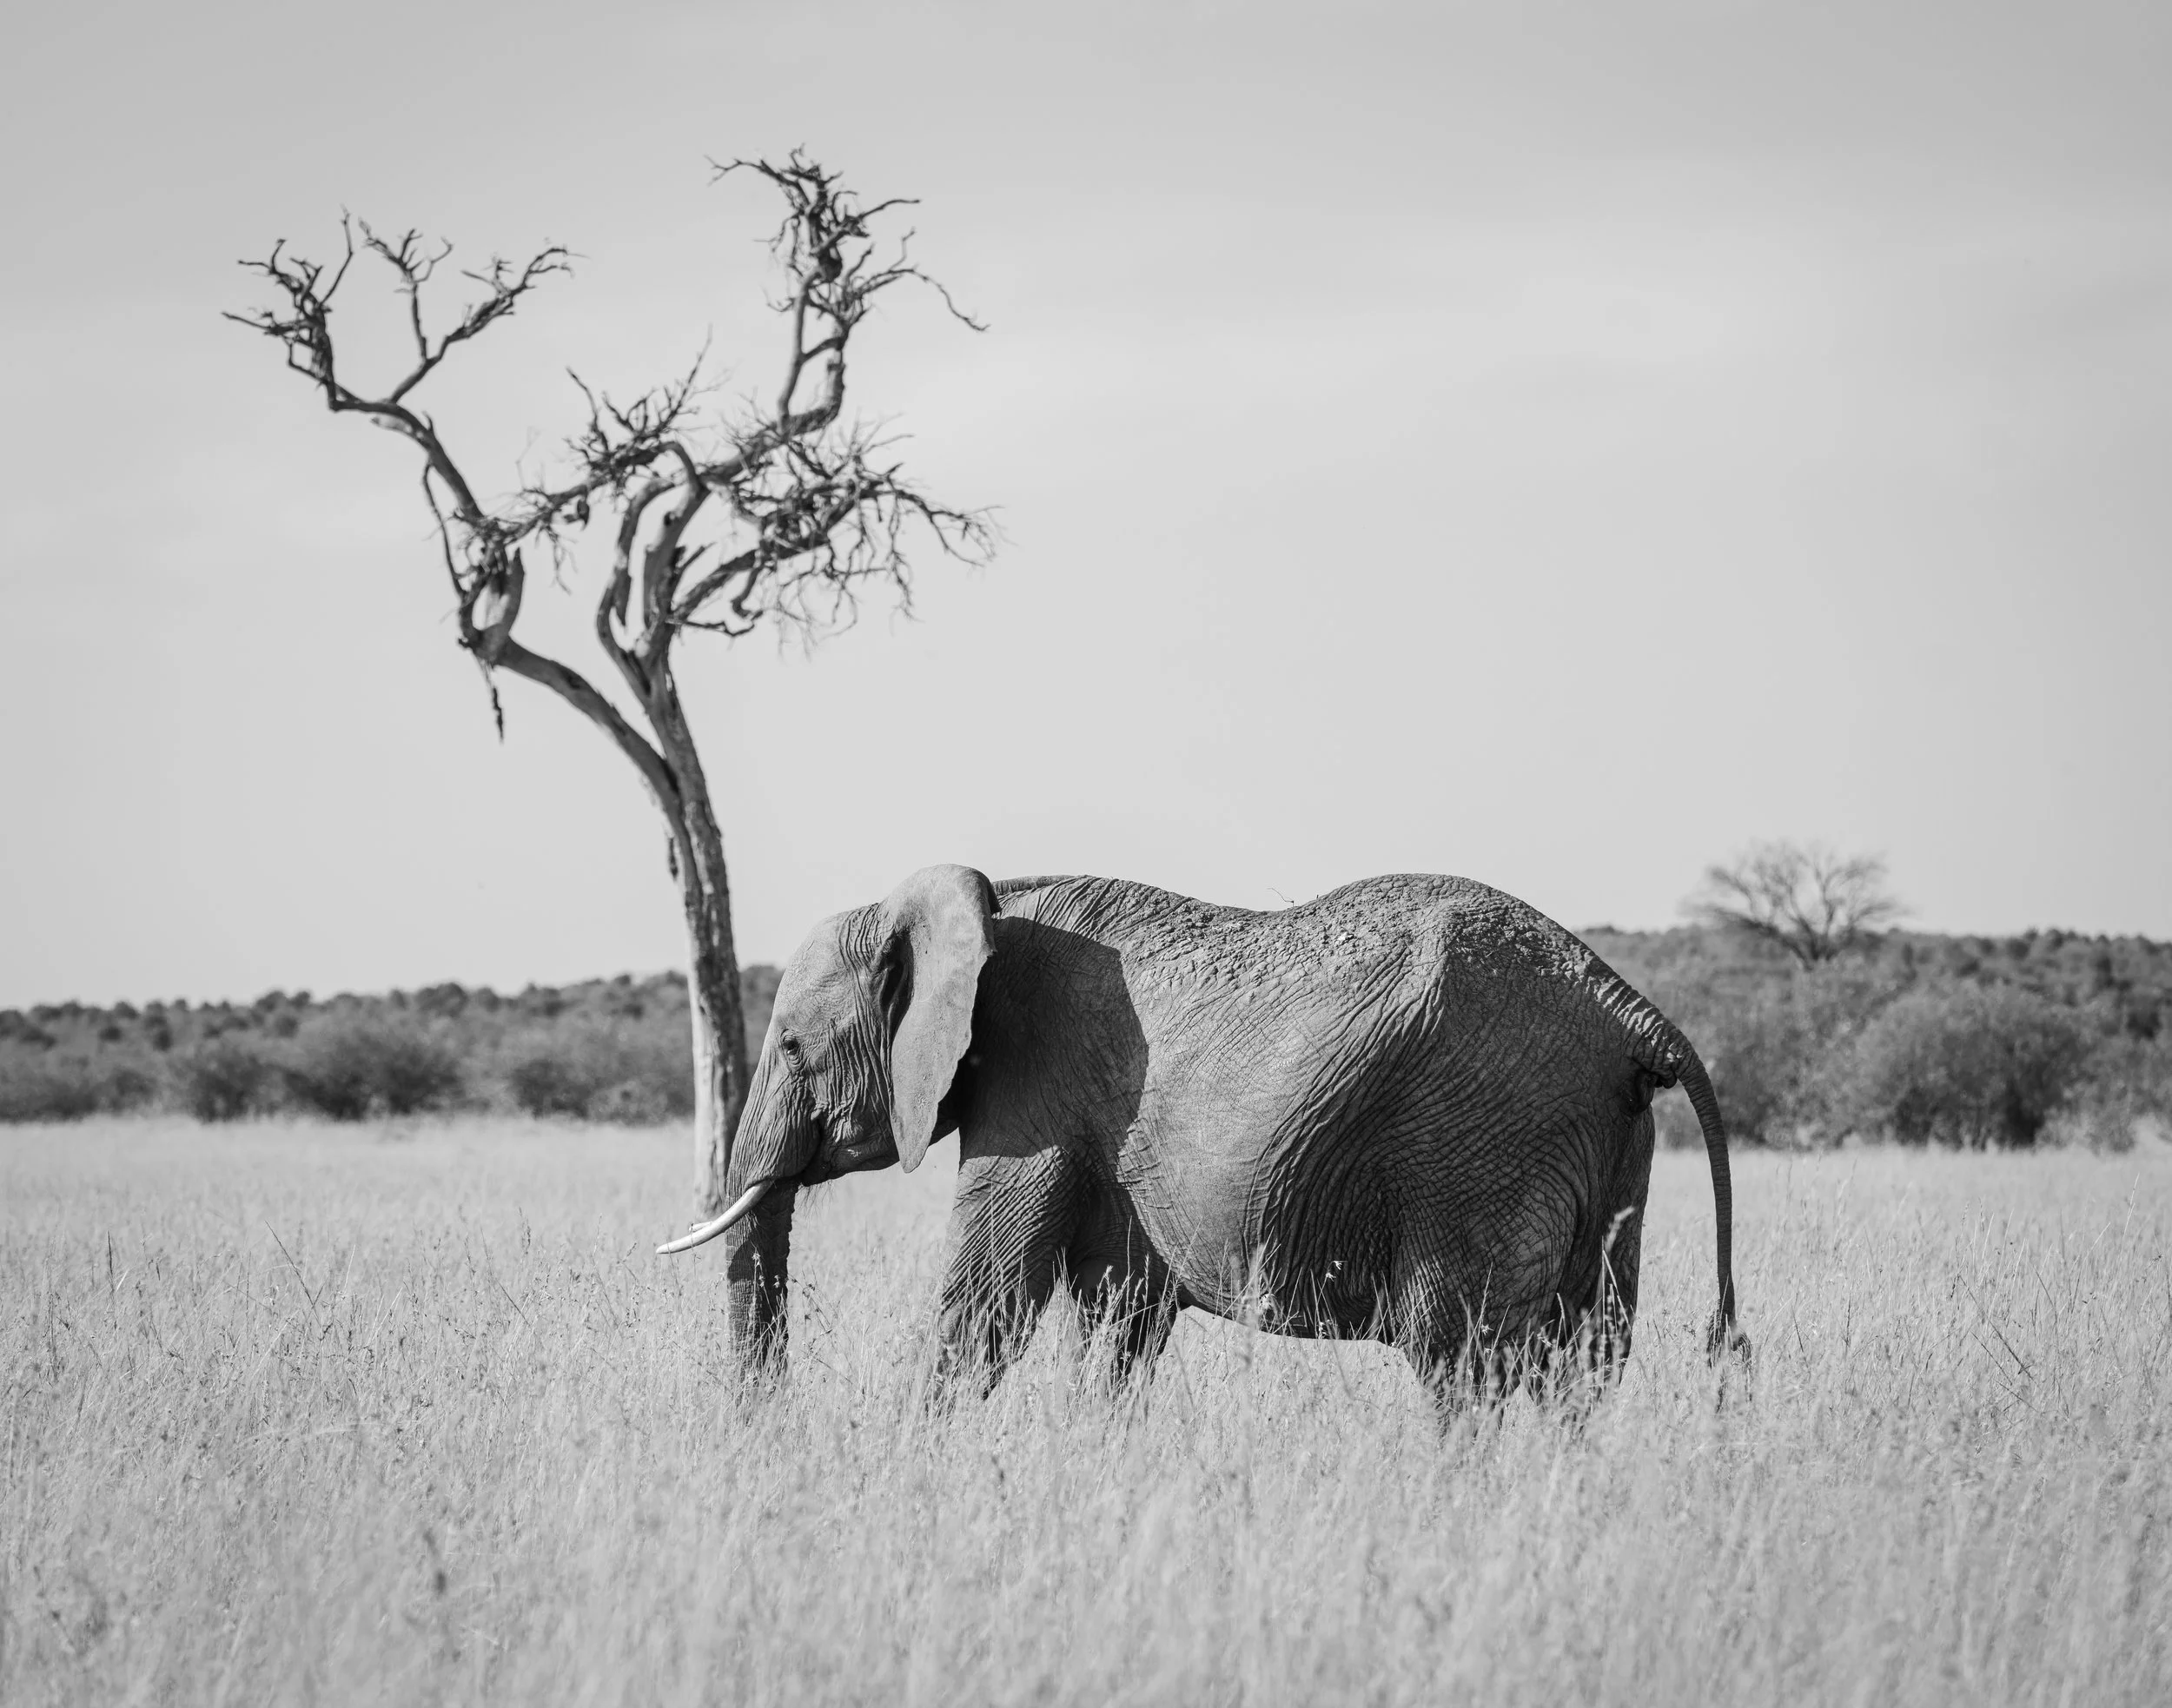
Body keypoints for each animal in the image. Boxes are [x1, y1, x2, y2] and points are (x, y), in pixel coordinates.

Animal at [659, 866, 1747, 1406]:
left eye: (791, 1045)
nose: (770, 1426)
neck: (976, 898)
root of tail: (1624, 1003)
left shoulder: (1032, 1093)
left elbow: (989, 1298)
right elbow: (1119, 1320)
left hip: (1478, 1146)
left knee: (1461, 1360)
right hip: (1606, 1142)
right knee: (1585, 1358)